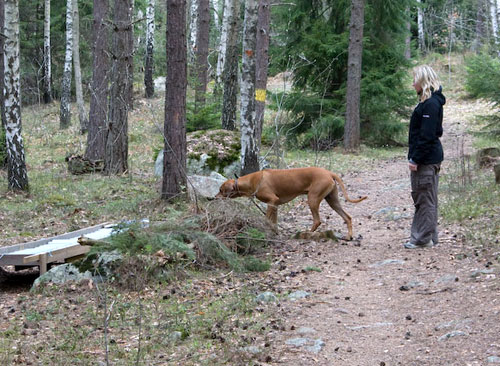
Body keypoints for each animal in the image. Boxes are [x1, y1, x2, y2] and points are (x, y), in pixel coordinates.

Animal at [216, 167, 368, 240]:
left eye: (220, 190)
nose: (214, 197)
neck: (253, 181)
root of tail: (329, 172)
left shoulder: (272, 201)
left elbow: (267, 219)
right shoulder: (275, 204)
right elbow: (274, 221)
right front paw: (275, 232)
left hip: (313, 198)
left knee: (317, 220)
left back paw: (306, 234)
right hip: (332, 200)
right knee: (347, 217)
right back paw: (349, 236)